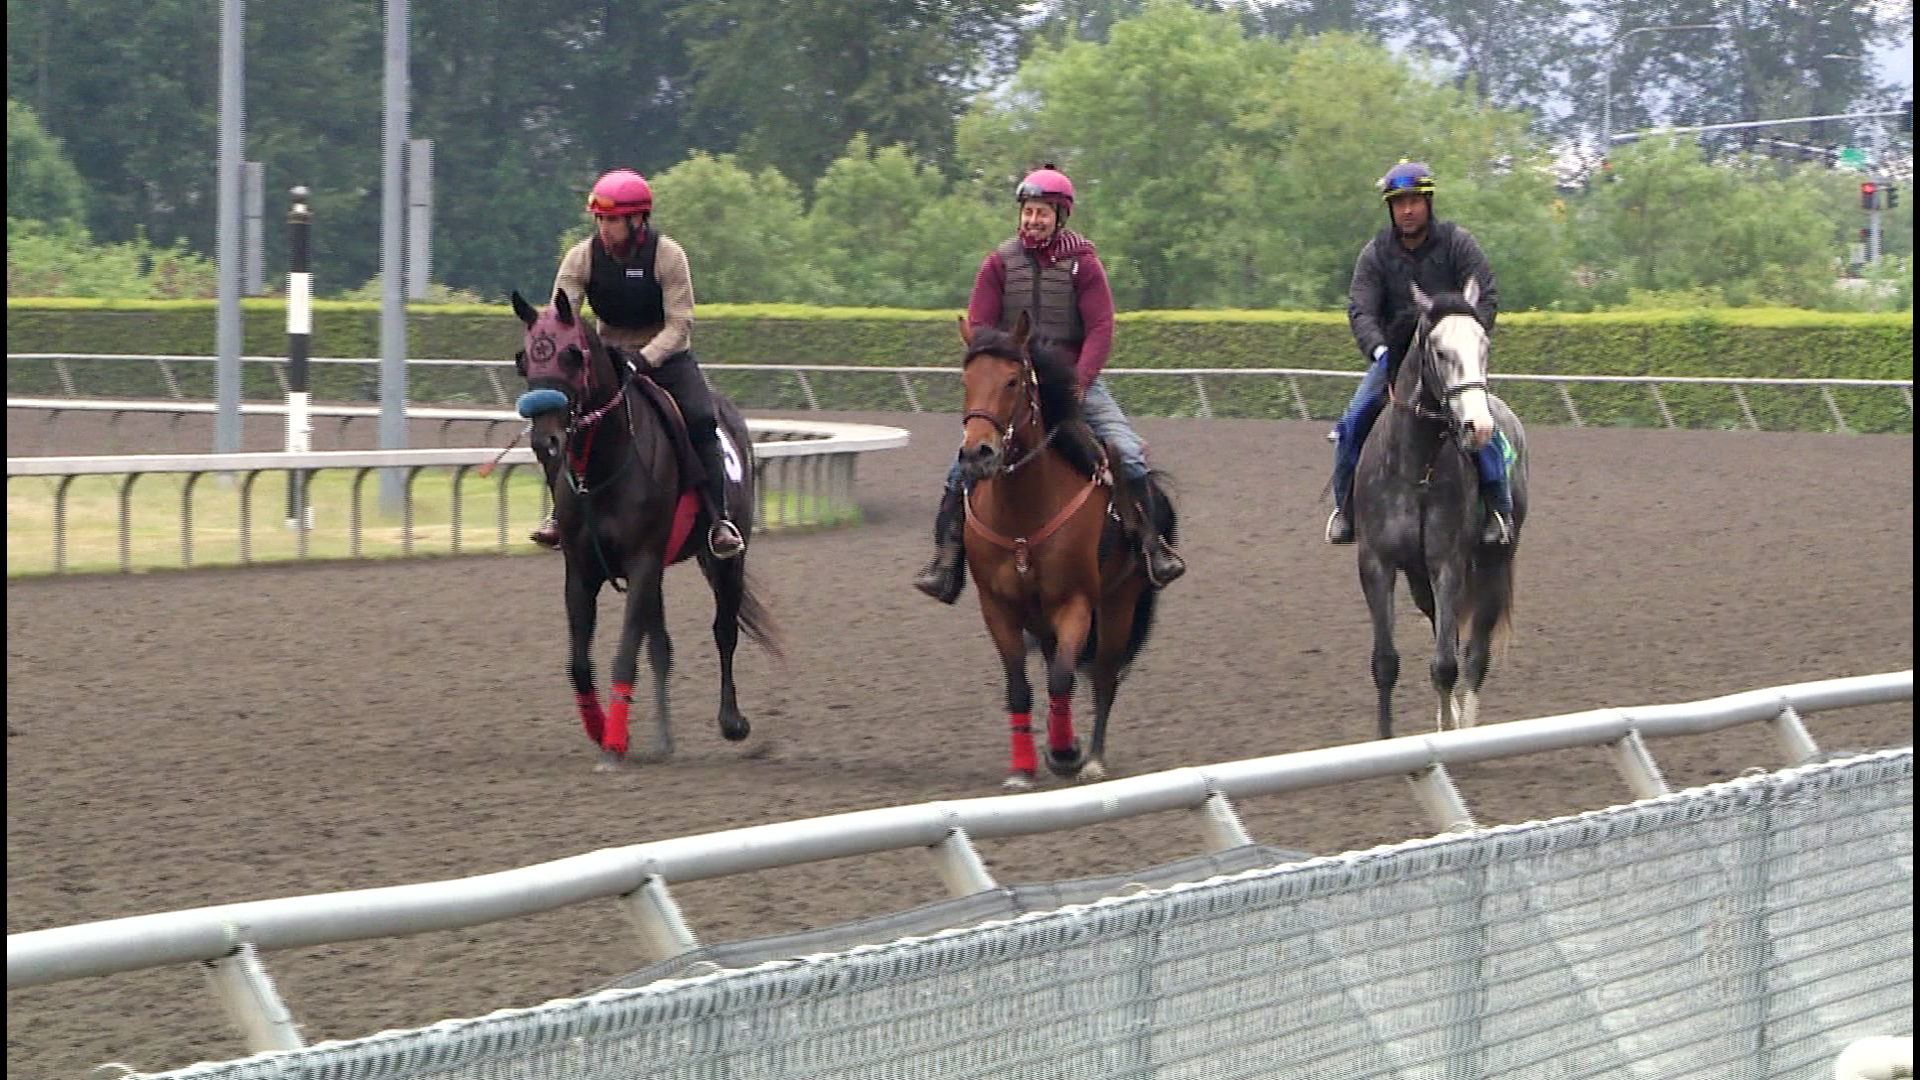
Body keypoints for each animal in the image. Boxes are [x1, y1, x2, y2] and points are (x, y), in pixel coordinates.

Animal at [514, 284, 783, 757]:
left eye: (571, 356)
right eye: (524, 359)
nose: (545, 440)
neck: (603, 467)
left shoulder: (642, 560)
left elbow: (625, 654)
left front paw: (615, 742)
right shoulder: (582, 570)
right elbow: (580, 663)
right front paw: (601, 729)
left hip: (726, 557)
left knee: (724, 630)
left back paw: (731, 721)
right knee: (661, 646)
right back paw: (662, 738)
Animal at [956, 307, 1159, 787]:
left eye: (1013, 380)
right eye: (966, 379)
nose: (978, 453)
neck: (1022, 516)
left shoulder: (1076, 603)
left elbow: (1065, 679)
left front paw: (1068, 753)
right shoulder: (998, 606)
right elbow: (1019, 686)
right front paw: (1023, 768)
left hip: (1120, 601)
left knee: (1103, 676)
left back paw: (1093, 758)